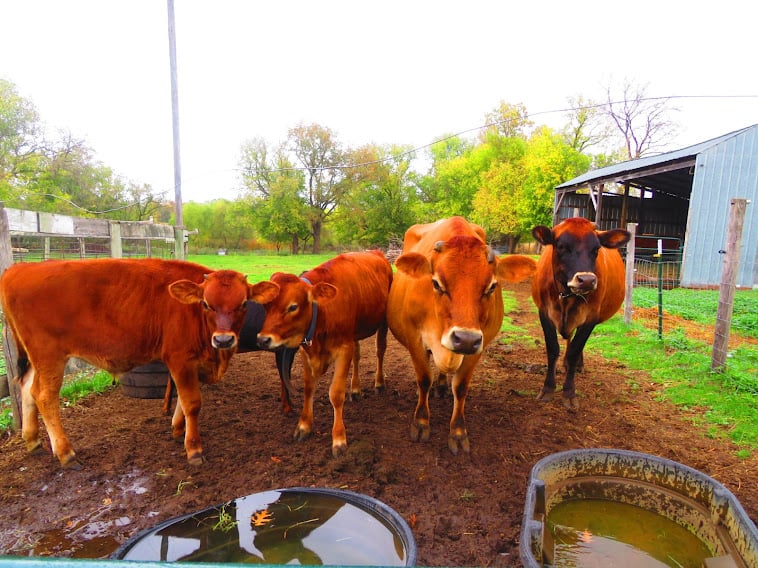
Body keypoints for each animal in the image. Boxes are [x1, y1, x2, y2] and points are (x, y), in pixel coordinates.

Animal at [0, 260, 274, 468]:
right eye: (206, 303)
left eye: (243, 303)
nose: (224, 339)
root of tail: (21, 268)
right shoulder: (180, 357)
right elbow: (192, 403)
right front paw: (194, 449)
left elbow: (181, 400)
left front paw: (178, 430)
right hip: (49, 355)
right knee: (44, 396)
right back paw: (66, 454)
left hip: (36, 358)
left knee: (26, 388)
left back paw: (32, 441)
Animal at [252, 251, 394, 454]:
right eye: (266, 306)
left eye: (293, 307)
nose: (263, 339)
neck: (323, 313)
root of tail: (376, 252)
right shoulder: (306, 351)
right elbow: (308, 388)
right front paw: (304, 426)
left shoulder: (344, 349)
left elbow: (335, 394)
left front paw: (339, 438)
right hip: (355, 333)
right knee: (357, 356)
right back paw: (356, 389)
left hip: (383, 322)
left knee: (380, 350)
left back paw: (379, 382)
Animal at [386, 215, 540, 454]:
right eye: (436, 283)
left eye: (492, 286)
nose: (465, 339)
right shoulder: (415, 339)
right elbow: (424, 379)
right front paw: (420, 422)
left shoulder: (479, 346)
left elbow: (460, 387)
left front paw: (458, 432)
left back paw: (441, 386)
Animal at [532, 216, 632, 408]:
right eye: (561, 246)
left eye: (596, 249)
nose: (586, 280)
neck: (566, 295)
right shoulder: (544, 312)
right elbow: (552, 349)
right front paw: (548, 389)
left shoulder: (590, 319)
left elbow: (575, 351)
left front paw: (569, 392)